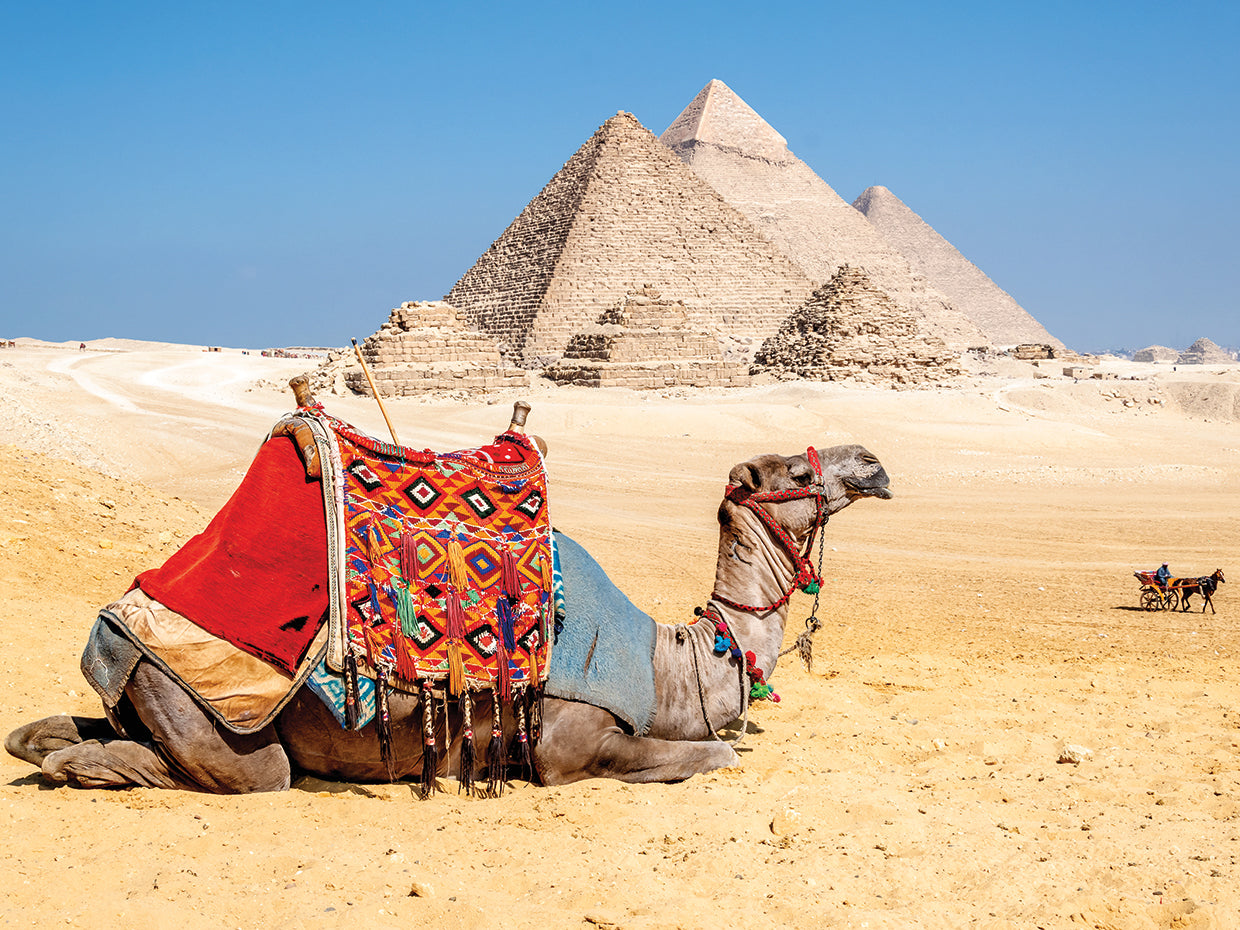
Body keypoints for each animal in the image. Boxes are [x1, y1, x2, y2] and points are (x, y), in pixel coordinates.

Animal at [7, 442, 891, 792]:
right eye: (790, 471)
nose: (874, 465)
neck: (668, 663)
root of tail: (119, 615)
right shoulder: (565, 742)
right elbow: (717, 755)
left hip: (141, 688)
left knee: (67, 727)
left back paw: (49, 744)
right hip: (209, 707)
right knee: (256, 773)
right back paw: (77, 765)